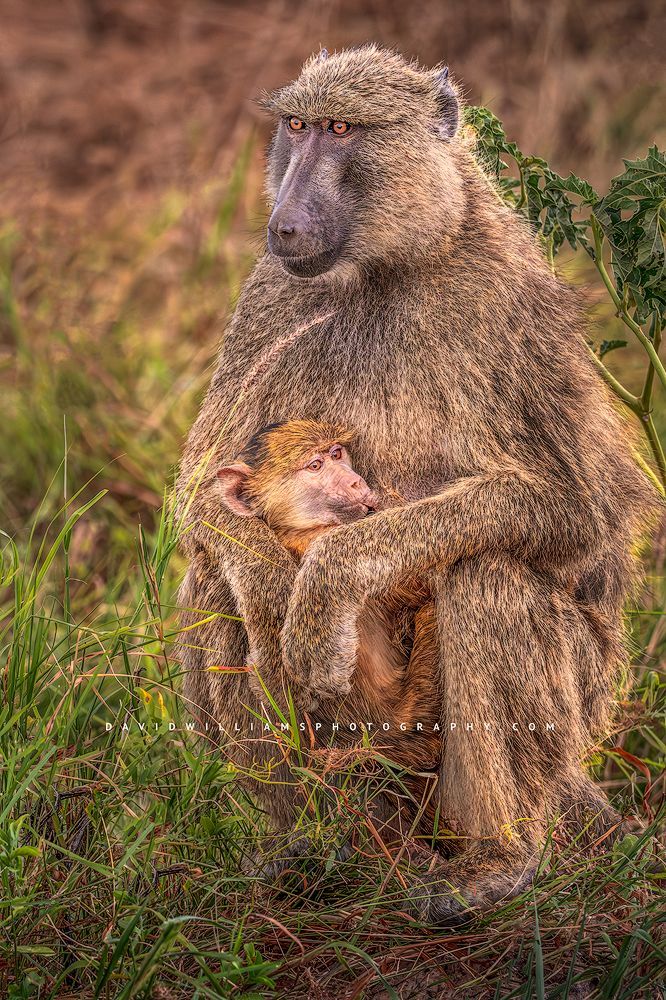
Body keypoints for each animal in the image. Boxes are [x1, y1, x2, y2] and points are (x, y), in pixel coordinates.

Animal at [176, 45, 658, 922]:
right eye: (297, 125)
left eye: (341, 129)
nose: (284, 223)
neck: (393, 264)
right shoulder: (273, 293)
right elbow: (202, 493)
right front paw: (275, 588)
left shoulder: (506, 300)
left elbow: (578, 508)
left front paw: (322, 592)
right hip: (370, 765)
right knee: (210, 578)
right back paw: (307, 845)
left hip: (564, 709)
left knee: (487, 576)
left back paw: (498, 860)